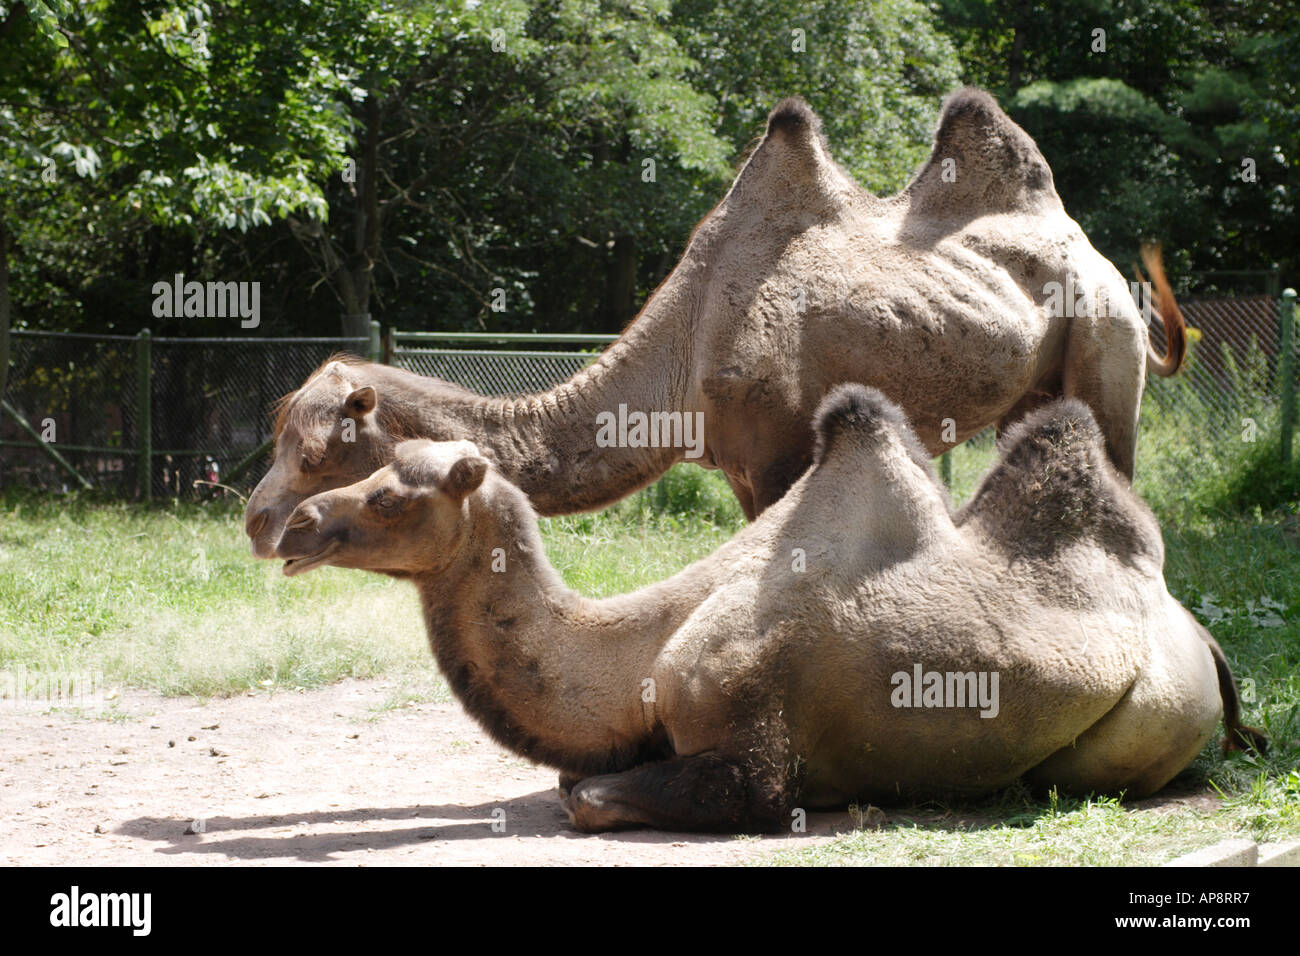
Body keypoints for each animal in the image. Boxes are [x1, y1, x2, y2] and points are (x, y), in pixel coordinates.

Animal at [244, 86, 1185, 555]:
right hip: (1039, 380)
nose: (258, 521)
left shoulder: (778, 453)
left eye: (318, 454)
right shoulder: (736, 466)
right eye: (281, 437)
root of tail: (1097, 257)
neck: (681, 356)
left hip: (1106, 341)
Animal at [272, 384, 1260, 833]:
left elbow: (588, 797)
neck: (639, 659)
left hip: (1150, 721)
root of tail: (1207, 643)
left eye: (392, 496)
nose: (296, 524)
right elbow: (569, 781)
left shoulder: (752, 761)